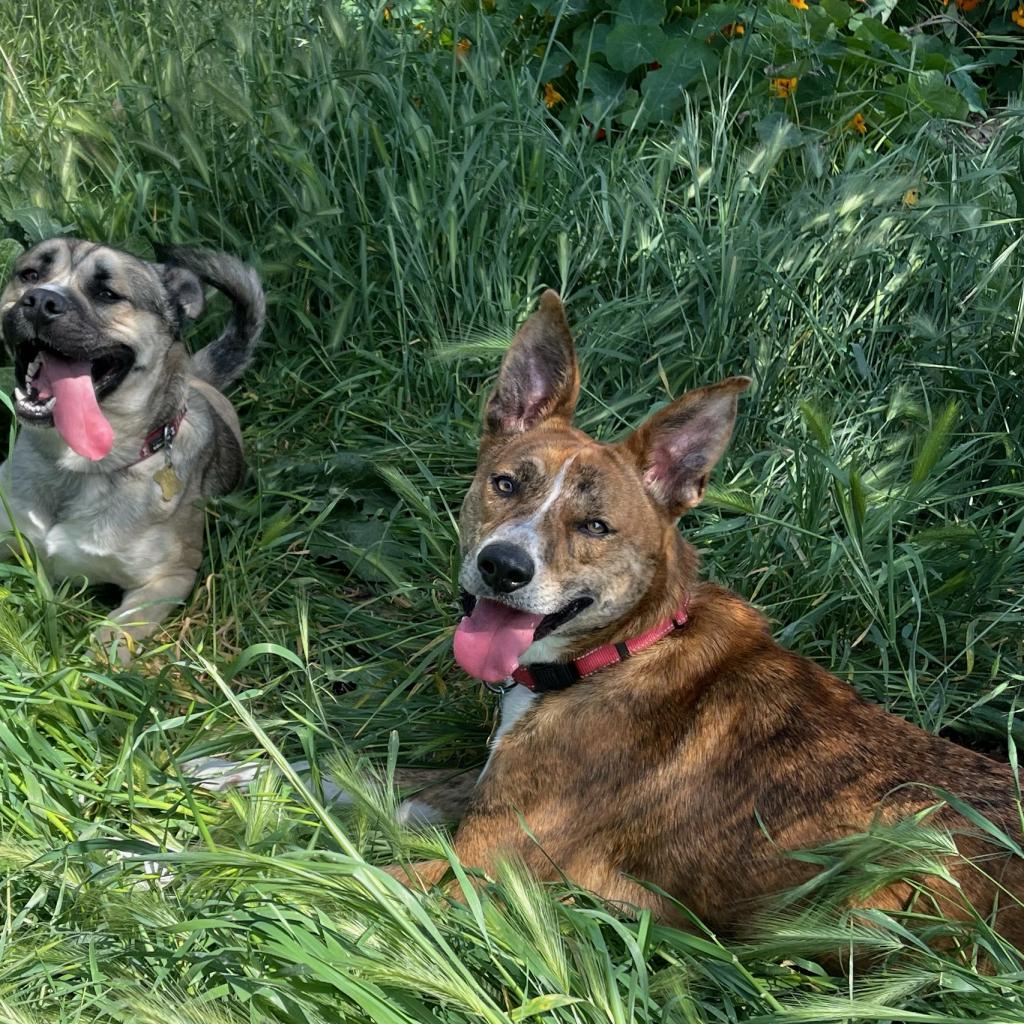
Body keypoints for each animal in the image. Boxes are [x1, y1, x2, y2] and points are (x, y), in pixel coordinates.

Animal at [1, 237, 264, 655]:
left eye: (108, 294)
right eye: (30, 274)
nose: (40, 300)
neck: (77, 468)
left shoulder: (170, 577)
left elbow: (114, 633)